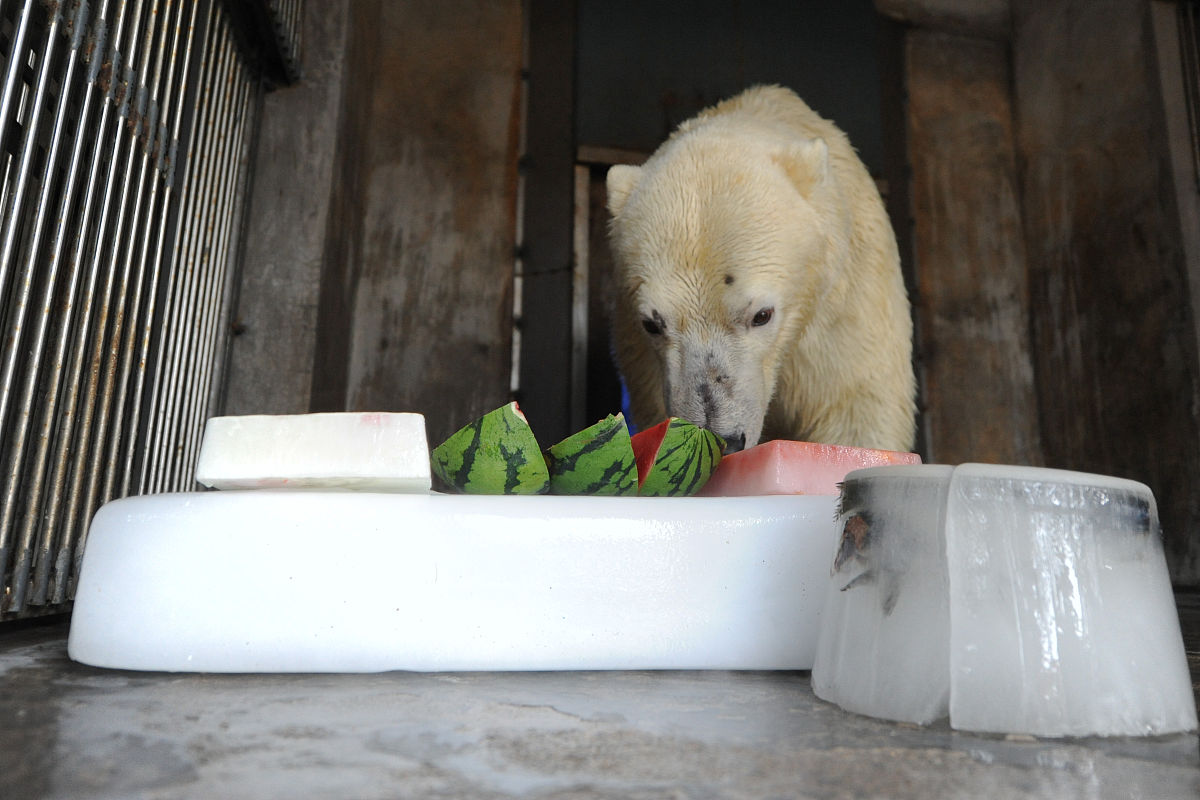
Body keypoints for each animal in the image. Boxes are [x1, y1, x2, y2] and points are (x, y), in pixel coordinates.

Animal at [605, 85, 916, 453]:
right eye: (652, 324)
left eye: (762, 315)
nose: (724, 439)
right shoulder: (641, 354)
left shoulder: (846, 301)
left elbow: (855, 405)